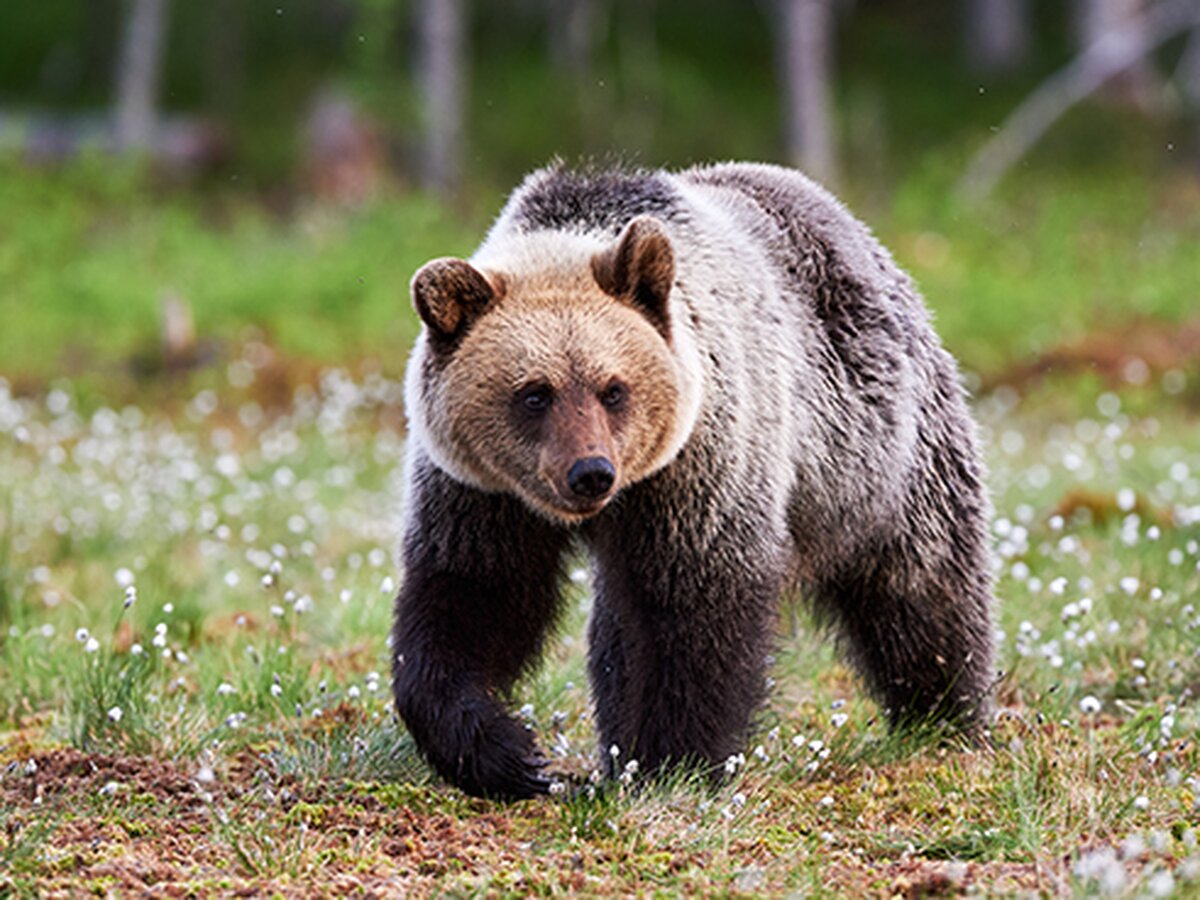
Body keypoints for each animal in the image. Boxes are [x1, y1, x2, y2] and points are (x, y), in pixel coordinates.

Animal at [391, 164, 993, 801]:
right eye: (534, 393)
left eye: (613, 388)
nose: (590, 472)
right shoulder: (482, 491)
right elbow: (473, 596)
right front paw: (507, 753)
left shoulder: (700, 466)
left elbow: (698, 608)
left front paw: (673, 760)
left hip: (880, 455)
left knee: (923, 590)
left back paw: (944, 716)